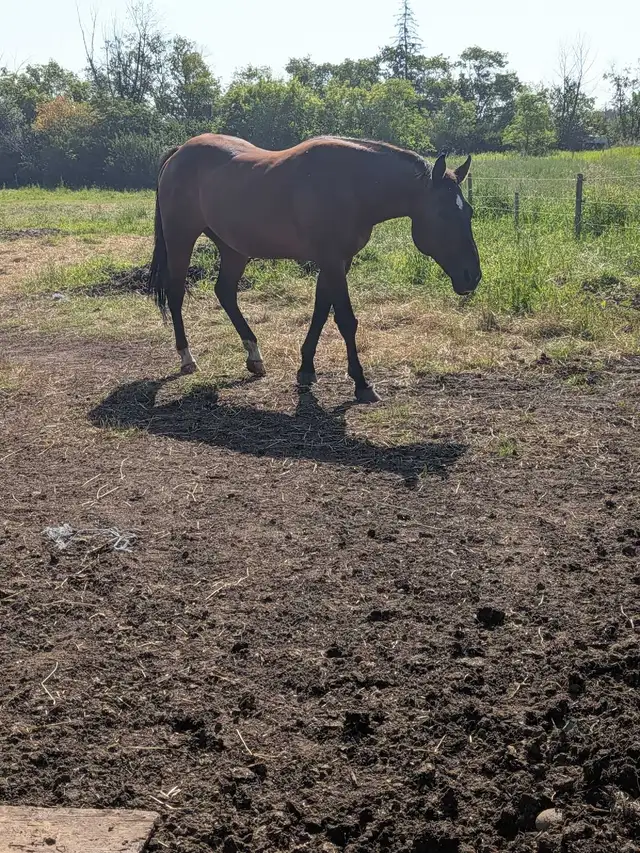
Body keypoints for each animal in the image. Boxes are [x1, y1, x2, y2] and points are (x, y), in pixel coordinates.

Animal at [149, 133, 481, 403]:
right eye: (442, 213)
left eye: (468, 211)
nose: (472, 276)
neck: (351, 184)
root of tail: (180, 152)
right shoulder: (331, 260)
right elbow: (345, 320)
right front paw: (361, 383)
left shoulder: (338, 261)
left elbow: (321, 310)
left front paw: (306, 368)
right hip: (181, 239)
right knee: (176, 294)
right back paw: (187, 359)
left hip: (233, 249)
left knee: (225, 292)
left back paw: (254, 356)